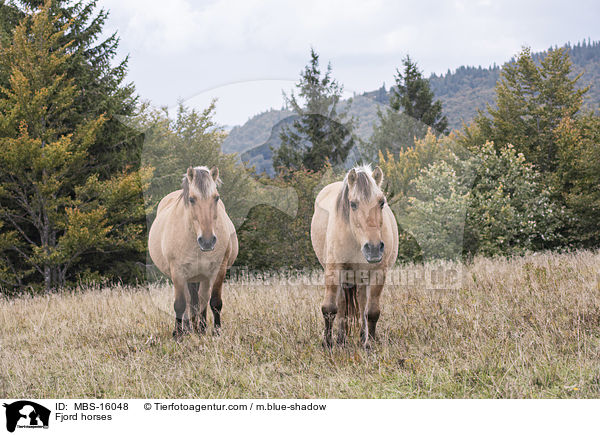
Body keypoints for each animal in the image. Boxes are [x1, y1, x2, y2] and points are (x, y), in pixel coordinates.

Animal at [148, 165, 237, 338]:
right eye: (191, 199)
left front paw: (214, 332)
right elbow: (180, 304)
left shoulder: (218, 270)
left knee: (201, 299)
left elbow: (214, 302)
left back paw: (198, 328)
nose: (207, 241)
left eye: (216, 198)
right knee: (189, 301)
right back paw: (188, 329)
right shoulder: (178, 272)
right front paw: (178, 335)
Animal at [310, 165, 398, 350]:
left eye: (381, 202)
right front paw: (327, 343)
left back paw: (362, 336)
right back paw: (341, 339)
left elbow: (371, 312)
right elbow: (329, 308)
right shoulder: (334, 271)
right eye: (353, 204)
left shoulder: (378, 273)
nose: (373, 248)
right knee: (342, 304)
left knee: (363, 303)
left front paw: (369, 344)